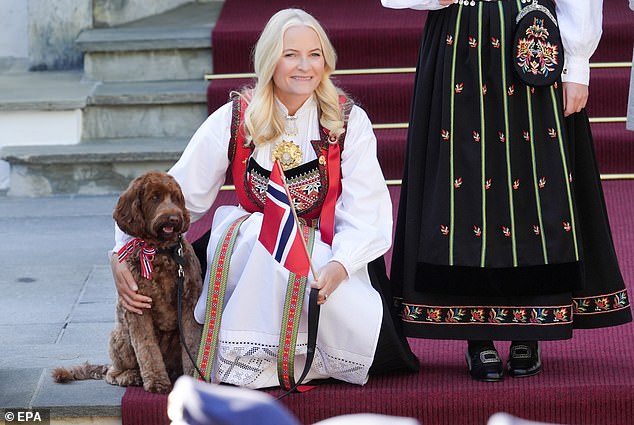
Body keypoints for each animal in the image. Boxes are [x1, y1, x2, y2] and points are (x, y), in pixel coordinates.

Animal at [54, 171, 204, 392]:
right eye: (154, 198)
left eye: (176, 198)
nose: (174, 217)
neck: (160, 251)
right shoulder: (138, 310)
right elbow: (147, 348)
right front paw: (156, 382)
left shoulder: (188, 304)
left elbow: (193, 343)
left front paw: (194, 378)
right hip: (121, 336)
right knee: (112, 373)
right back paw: (131, 376)